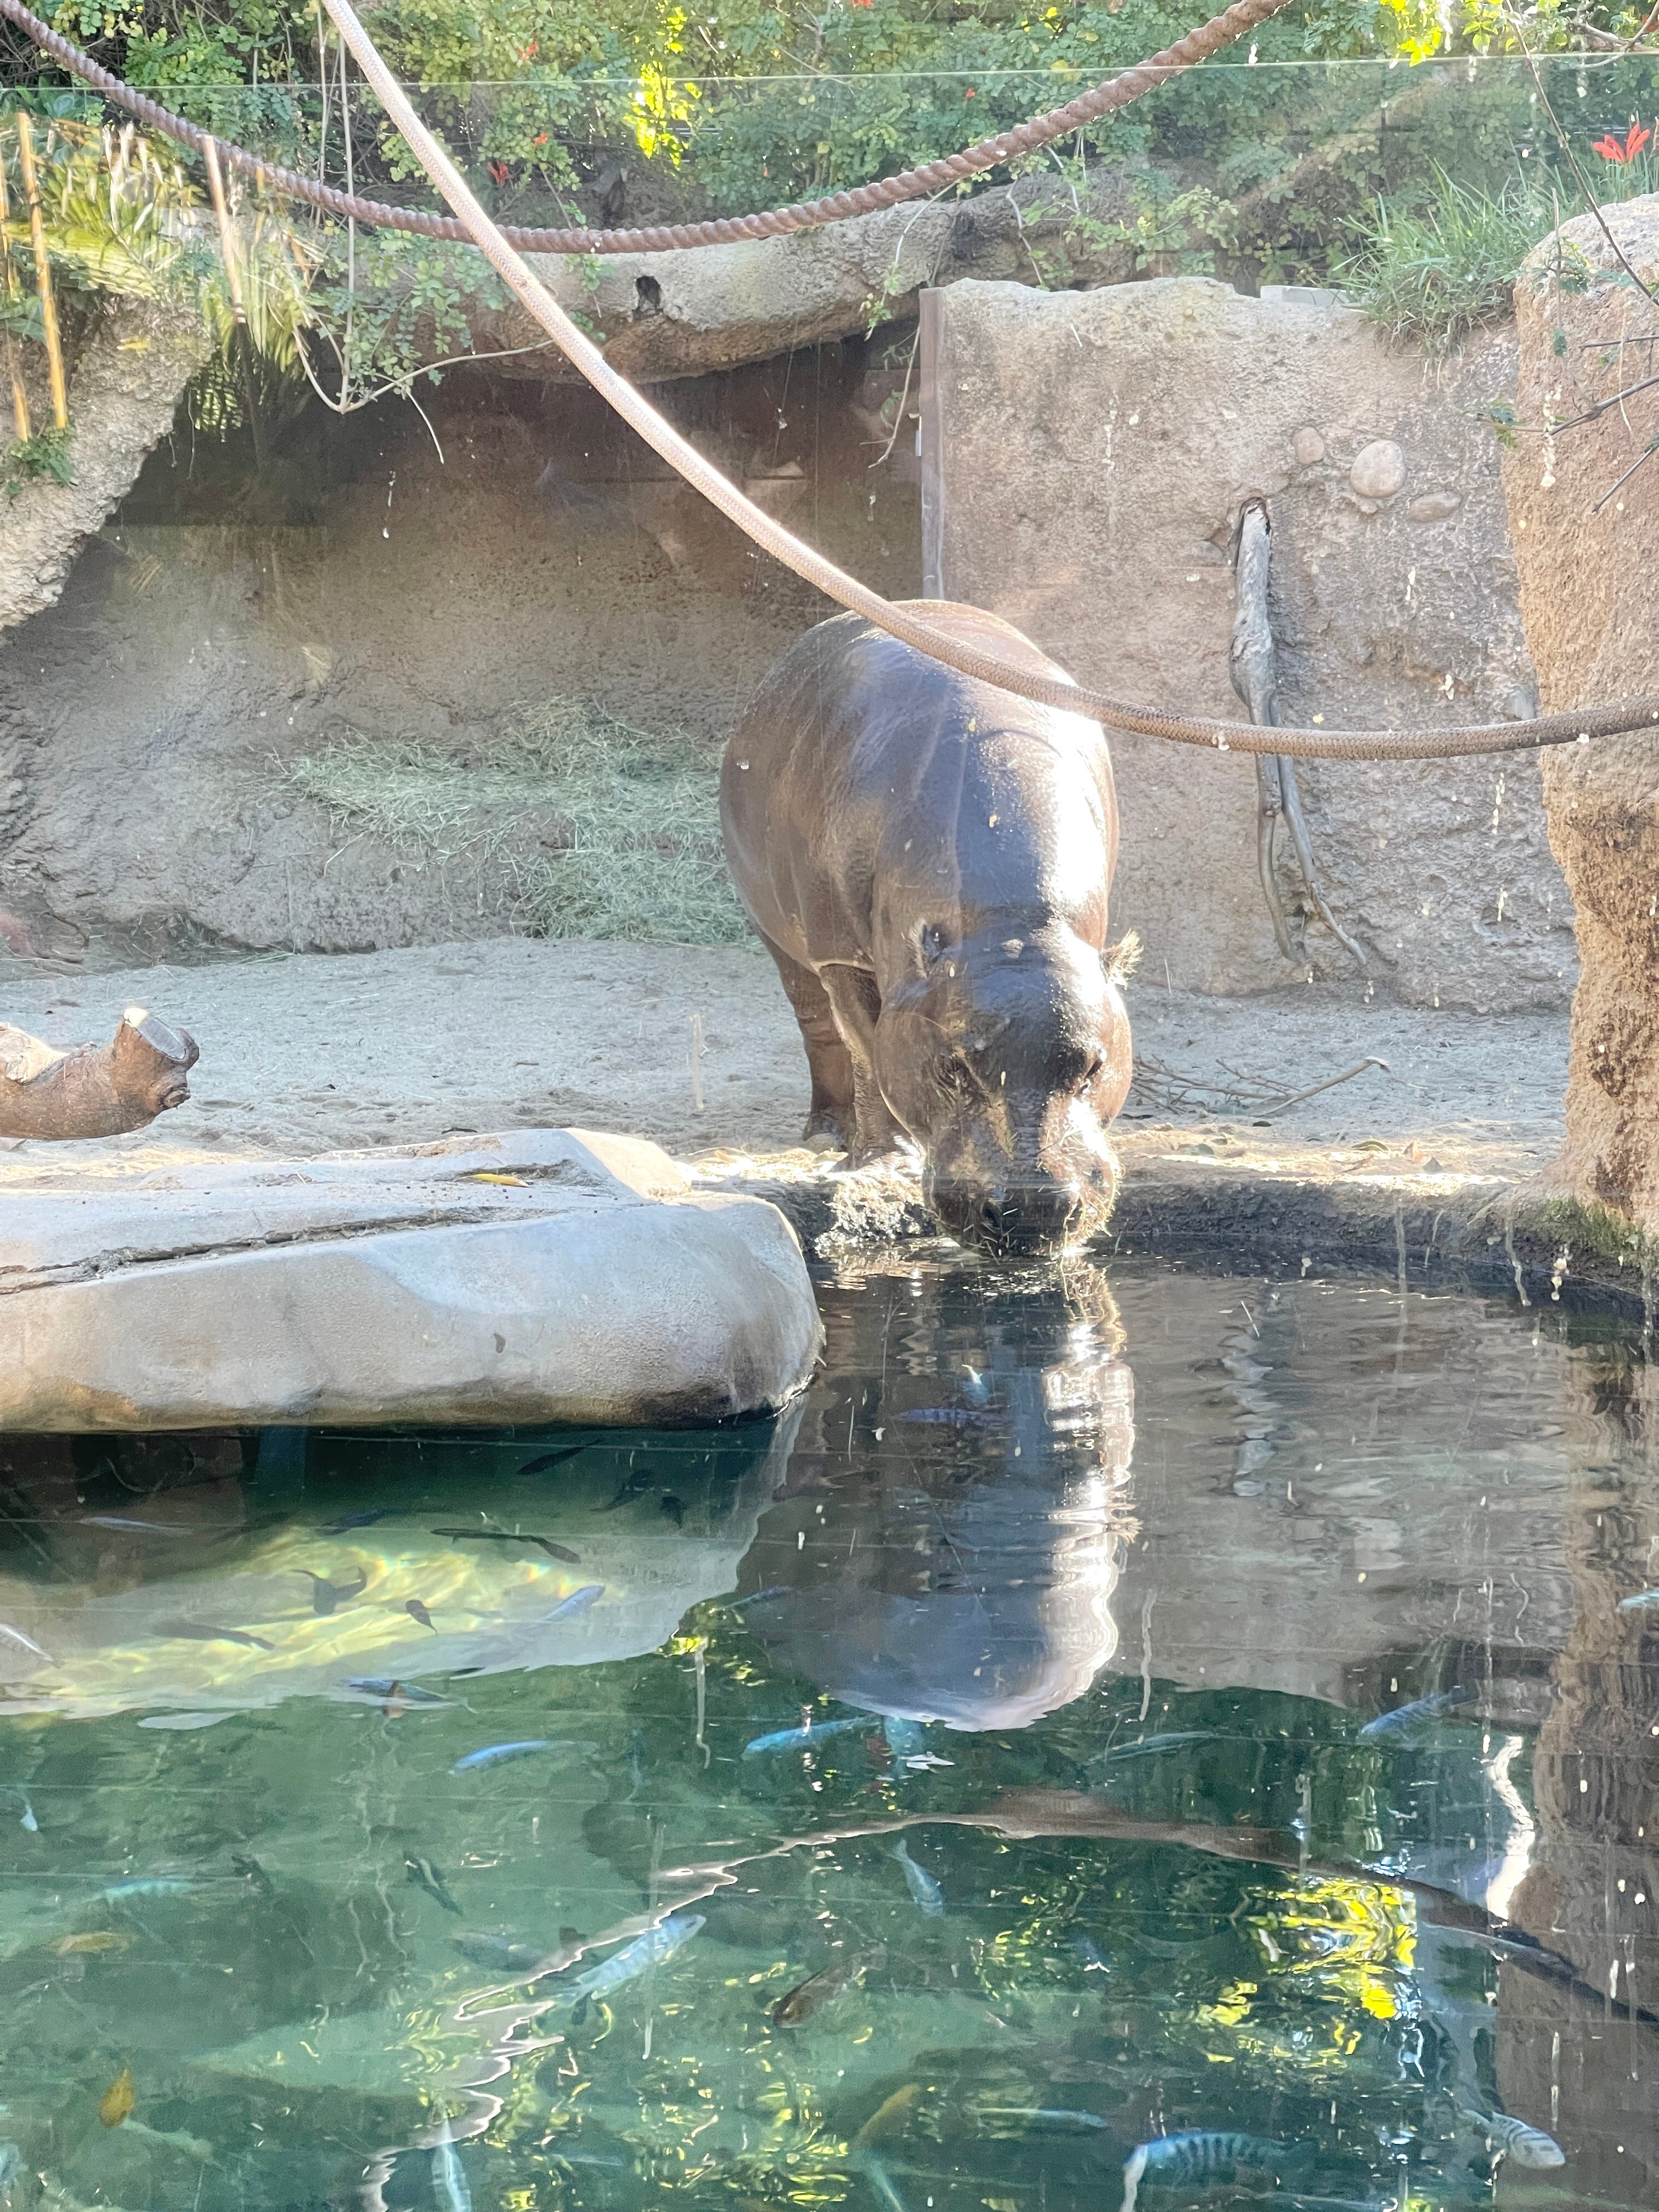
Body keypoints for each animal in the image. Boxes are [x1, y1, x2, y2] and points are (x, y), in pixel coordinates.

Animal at [720, 602, 1133, 1252]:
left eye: (1093, 1066)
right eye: (952, 1066)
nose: (1033, 1208)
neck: (1010, 922)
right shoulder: (844, 957)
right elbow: (868, 1052)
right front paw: (883, 1160)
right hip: (780, 936)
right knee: (817, 1026)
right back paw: (828, 1132)